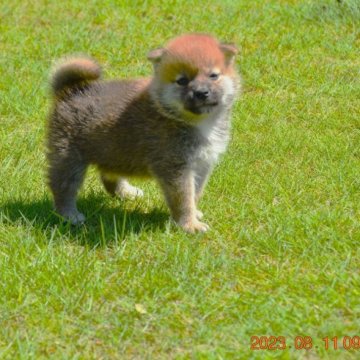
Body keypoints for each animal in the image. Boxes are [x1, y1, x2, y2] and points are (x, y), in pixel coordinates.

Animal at [47, 33, 239, 233]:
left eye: (213, 76)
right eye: (182, 81)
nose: (202, 92)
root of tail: (71, 91)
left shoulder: (202, 163)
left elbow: (195, 193)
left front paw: (194, 214)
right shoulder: (175, 167)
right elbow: (183, 199)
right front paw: (189, 224)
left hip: (114, 152)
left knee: (109, 178)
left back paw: (126, 192)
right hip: (69, 157)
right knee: (63, 188)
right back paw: (69, 215)